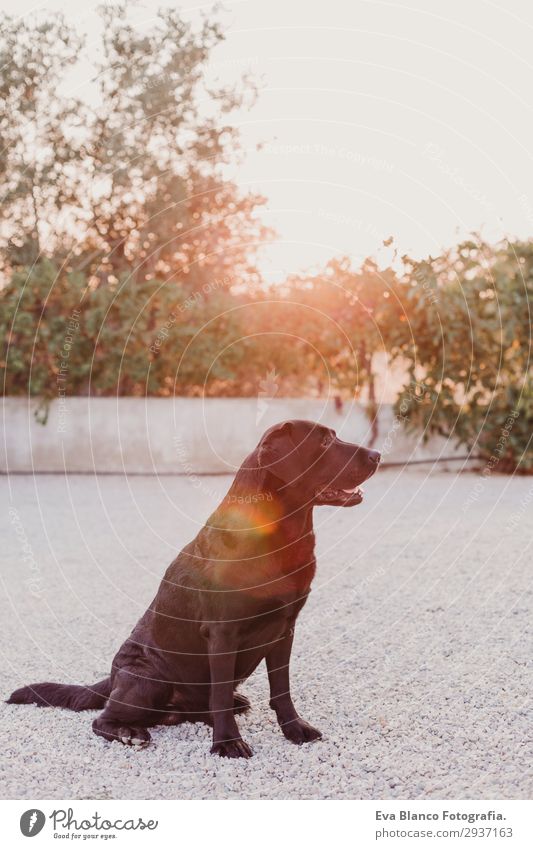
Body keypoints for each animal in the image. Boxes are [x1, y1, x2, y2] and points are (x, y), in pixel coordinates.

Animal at [7, 420, 378, 760]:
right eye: (325, 442)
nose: (377, 455)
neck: (278, 534)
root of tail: (112, 678)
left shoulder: (285, 627)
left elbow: (281, 689)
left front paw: (294, 728)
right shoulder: (223, 633)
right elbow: (221, 695)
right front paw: (228, 743)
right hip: (147, 678)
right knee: (104, 719)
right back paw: (129, 733)